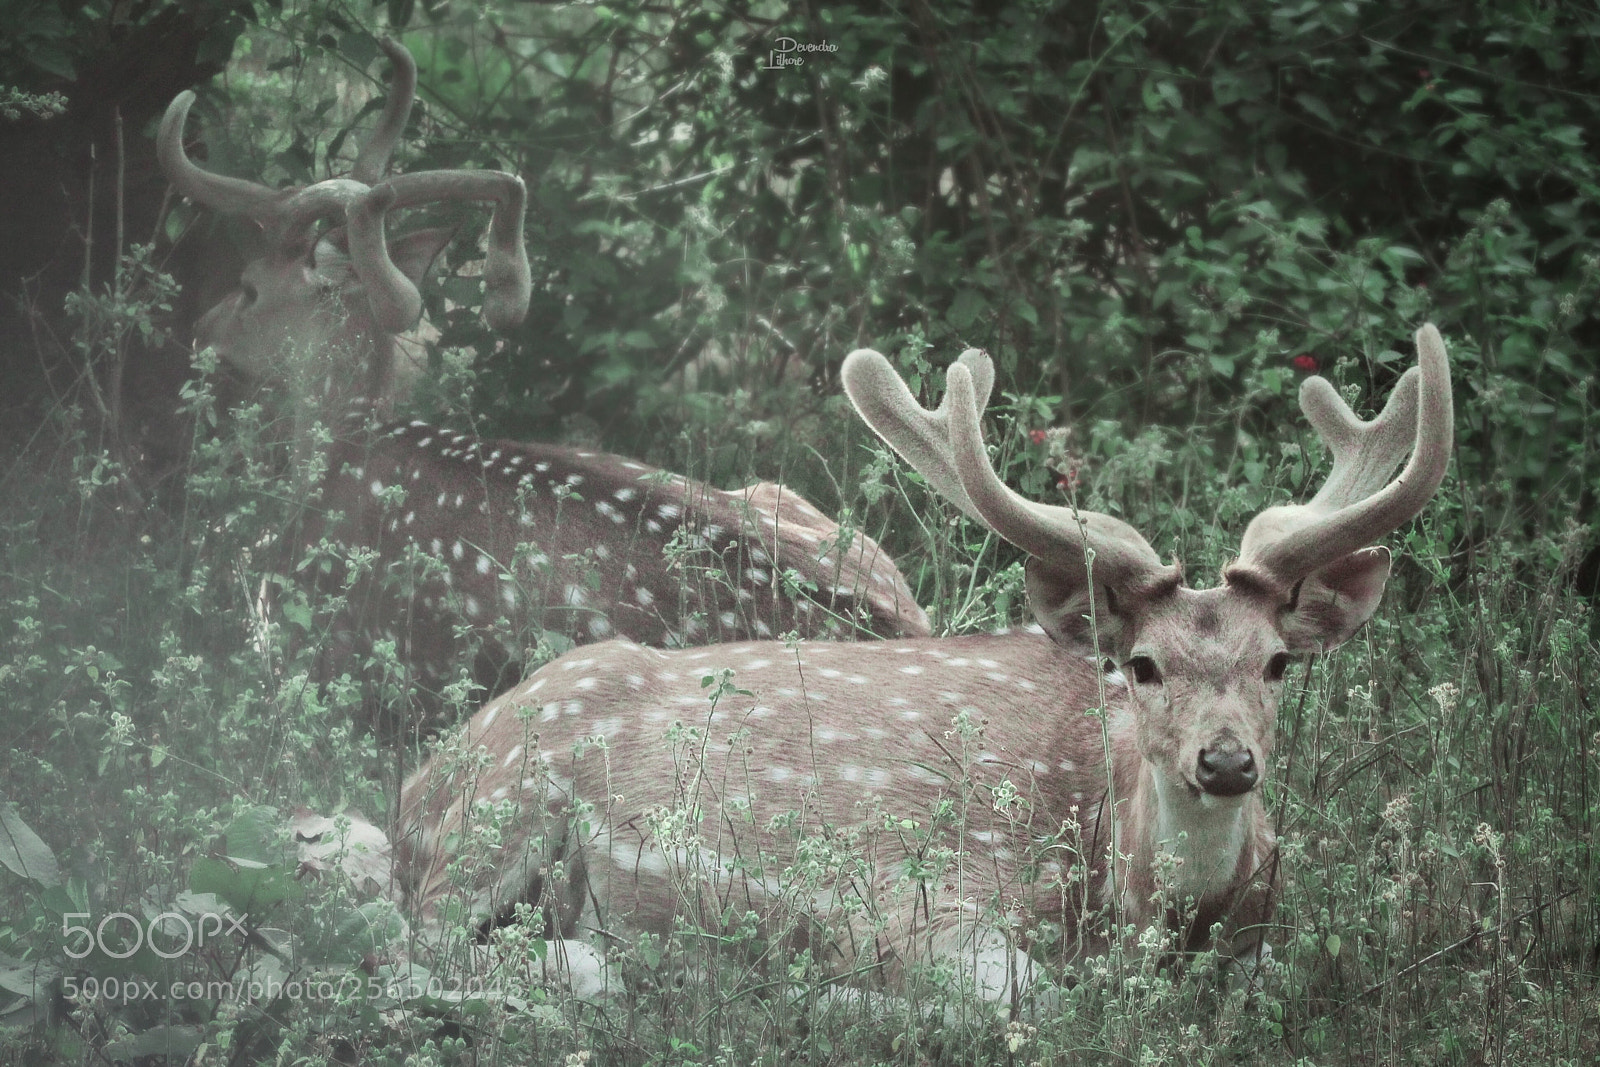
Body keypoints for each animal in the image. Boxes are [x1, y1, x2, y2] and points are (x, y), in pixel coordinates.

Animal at [158, 40, 931, 730]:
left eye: (250, 288)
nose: (199, 331)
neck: (338, 447)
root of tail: (900, 629)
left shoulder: (303, 642)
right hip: (790, 498)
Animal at [390, 326, 1453, 1010]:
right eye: (1143, 664)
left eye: (1278, 663)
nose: (1226, 761)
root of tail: (417, 778)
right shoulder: (918, 898)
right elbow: (1022, 994)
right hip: (501, 801)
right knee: (414, 942)